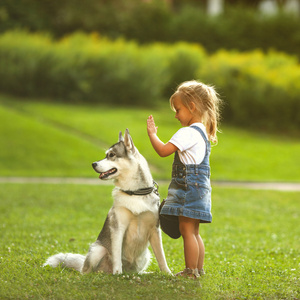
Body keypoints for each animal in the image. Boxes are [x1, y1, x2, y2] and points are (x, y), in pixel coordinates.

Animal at [44, 129, 171, 274]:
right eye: (106, 155)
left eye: (111, 155)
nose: (93, 164)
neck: (134, 192)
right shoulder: (118, 228)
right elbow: (117, 256)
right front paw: (117, 274)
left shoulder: (155, 230)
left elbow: (161, 257)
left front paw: (168, 274)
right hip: (98, 250)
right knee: (86, 270)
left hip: (145, 255)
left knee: (136, 271)